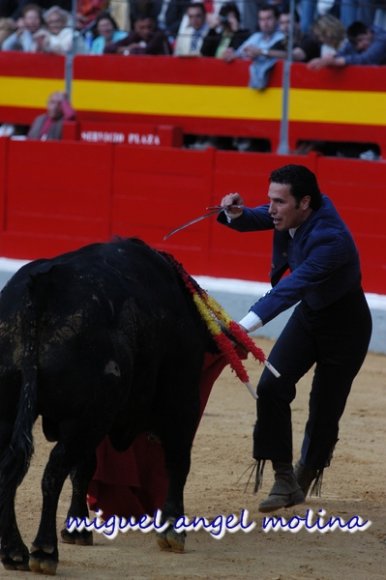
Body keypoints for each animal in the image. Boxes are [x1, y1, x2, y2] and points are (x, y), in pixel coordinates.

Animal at [0, 238, 219, 572]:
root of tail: (42, 288)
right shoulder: (181, 400)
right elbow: (178, 461)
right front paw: (172, 529)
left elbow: (85, 469)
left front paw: (77, 529)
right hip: (86, 419)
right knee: (52, 472)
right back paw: (44, 551)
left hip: (19, 412)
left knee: (12, 469)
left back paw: (13, 552)